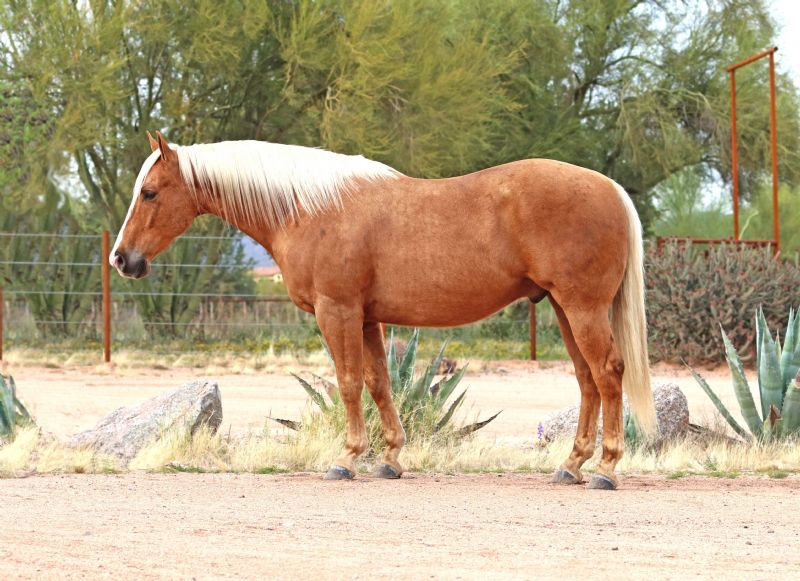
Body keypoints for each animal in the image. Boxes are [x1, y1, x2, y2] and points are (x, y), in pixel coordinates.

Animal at [111, 131, 656, 490]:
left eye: (150, 192)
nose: (122, 259)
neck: (308, 209)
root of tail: (610, 189)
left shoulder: (336, 312)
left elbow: (349, 382)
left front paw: (347, 458)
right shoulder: (368, 318)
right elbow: (379, 382)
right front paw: (390, 457)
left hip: (582, 309)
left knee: (608, 373)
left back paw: (606, 469)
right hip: (565, 309)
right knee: (587, 380)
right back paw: (572, 465)